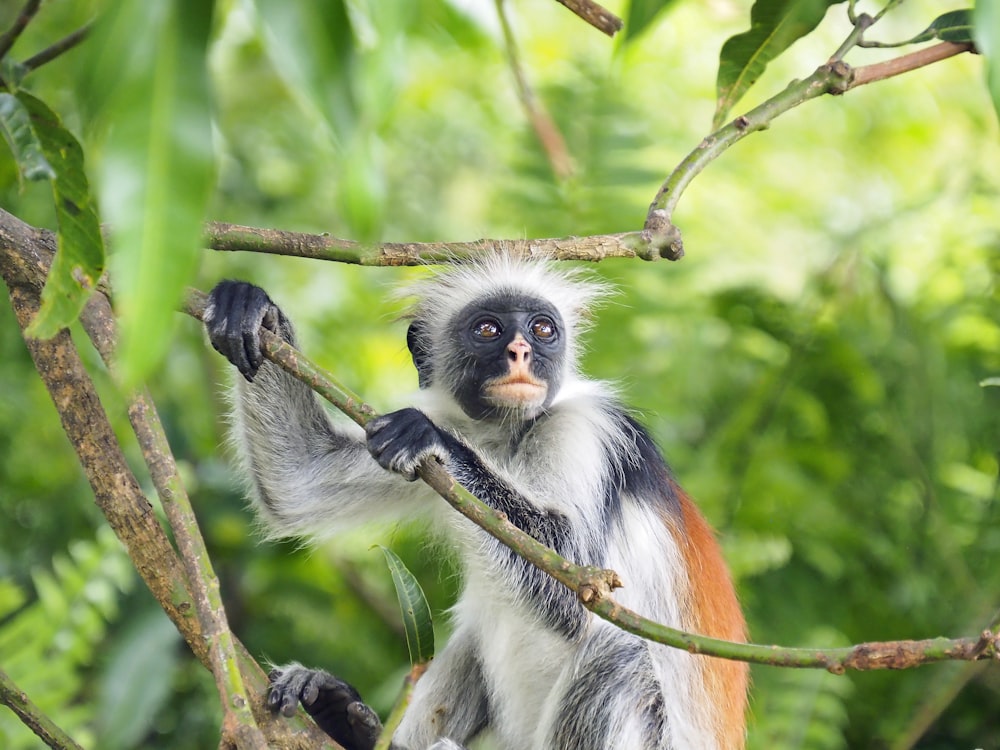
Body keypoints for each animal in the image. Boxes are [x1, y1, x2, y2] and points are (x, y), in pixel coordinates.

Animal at [205, 256, 752, 748]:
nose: (520, 350)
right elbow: (296, 484)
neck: (509, 438)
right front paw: (255, 312)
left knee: (621, 654)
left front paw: (434, 441)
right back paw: (354, 726)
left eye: (542, 329)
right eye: (488, 329)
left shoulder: (584, 429)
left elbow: (583, 592)